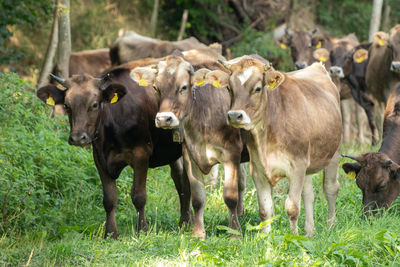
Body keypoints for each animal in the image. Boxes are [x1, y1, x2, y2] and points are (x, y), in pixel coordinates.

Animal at [36, 69, 191, 241]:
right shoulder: (99, 158)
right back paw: (185, 222)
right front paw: (110, 234)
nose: (77, 138)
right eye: (66, 105)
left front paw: (142, 230)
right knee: (181, 182)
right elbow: (109, 199)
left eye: (94, 104)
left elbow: (139, 196)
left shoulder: (141, 153)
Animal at [217, 58, 342, 237]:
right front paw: (266, 237)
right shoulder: (258, 169)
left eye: (257, 88)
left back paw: (331, 225)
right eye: (229, 88)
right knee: (308, 193)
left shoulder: (297, 166)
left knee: (330, 189)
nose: (234, 115)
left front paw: (293, 237)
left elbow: (292, 207)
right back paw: (309, 231)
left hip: (334, 153)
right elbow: (265, 209)